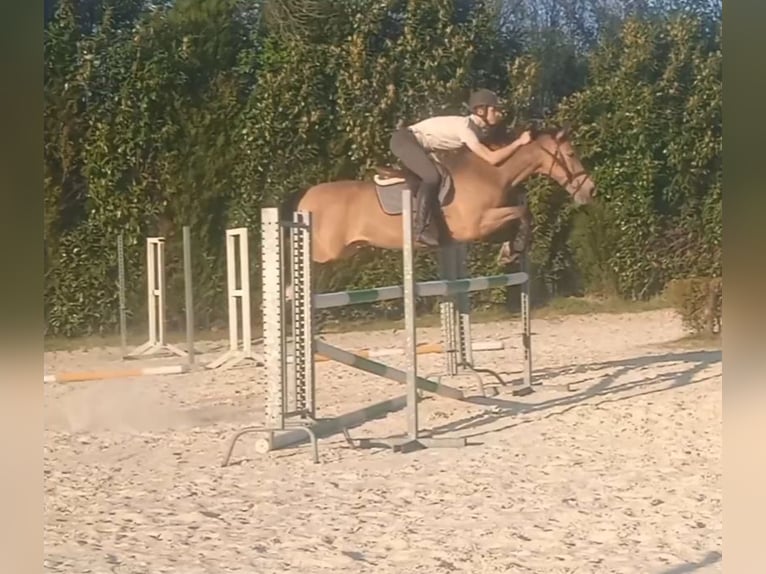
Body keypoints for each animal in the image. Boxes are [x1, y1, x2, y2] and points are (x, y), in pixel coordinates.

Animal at [279, 124, 596, 267]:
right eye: (571, 155)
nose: (590, 189)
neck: (490, 172)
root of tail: (305, 197)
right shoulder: (476, 225)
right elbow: (523, 213)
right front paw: (511, 251)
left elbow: (520, 216)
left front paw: (509, 250)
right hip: (323, 251)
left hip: (343, 251)